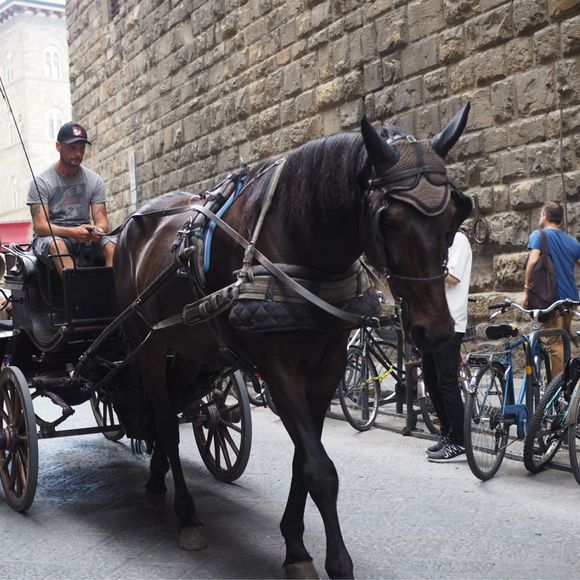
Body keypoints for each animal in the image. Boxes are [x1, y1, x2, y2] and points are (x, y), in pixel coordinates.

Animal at [112, 104, 472, 579]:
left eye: (453, 218)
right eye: (389, 220)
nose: (436, 330)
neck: (300, 242)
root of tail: (133, 224)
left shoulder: (327, 370)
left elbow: (305, 460)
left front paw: (295, 546)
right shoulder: (279, 369)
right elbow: (320, 469)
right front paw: (335, 562)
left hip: (189, 348)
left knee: (168, 409)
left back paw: (157, 479)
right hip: (148, 345)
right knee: (167, 426)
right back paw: (186, 514)